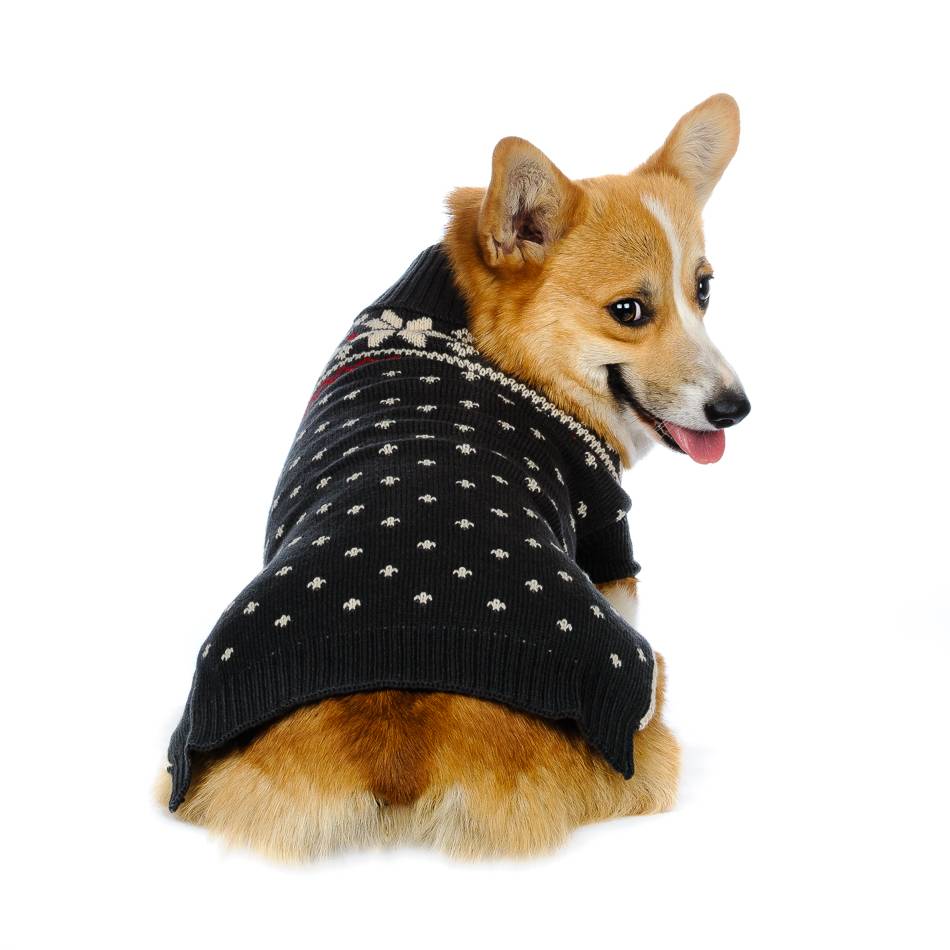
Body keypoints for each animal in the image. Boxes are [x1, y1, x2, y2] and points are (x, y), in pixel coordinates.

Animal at [157, 93, 750, 860]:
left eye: (703, 290)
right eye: (629, 311)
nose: (736, 409)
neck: (494, 334)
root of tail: (400, 741)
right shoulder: (607, 531)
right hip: (643, 678)